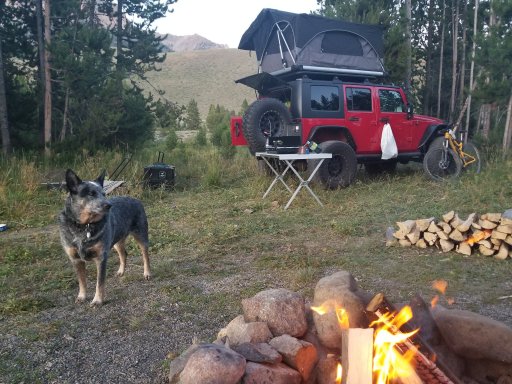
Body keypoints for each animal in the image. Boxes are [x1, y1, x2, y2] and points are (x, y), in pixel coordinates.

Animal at [59, 169, 150, 306]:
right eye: (91, 193)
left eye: (104, 194)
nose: (109, 205)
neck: (84, 227)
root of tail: (135, 199)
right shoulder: (75, 259)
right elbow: (82, 281)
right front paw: (82, 296)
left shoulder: (101, 257)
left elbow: (99, 282)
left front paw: (97, 300)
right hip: (117, 240)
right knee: (124, 254)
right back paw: (121, 271)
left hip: (141, 235)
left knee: (145, 255)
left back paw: (147, 273)